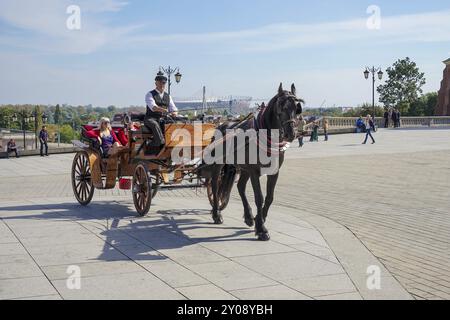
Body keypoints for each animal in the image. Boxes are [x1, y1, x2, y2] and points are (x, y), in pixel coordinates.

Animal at [200, 82, 302, 240]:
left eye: (297, 108)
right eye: (281, 107)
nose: (291, 134)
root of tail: (222, 124)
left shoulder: (274, 171)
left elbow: (269, 197)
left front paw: (260, 220)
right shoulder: (254, 171)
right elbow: (259, 197)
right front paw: (261, 228)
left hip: (243, 168)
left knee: (240, 187)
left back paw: (248, 216)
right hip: (219, 165)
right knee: (215, 186)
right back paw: (217, 214)